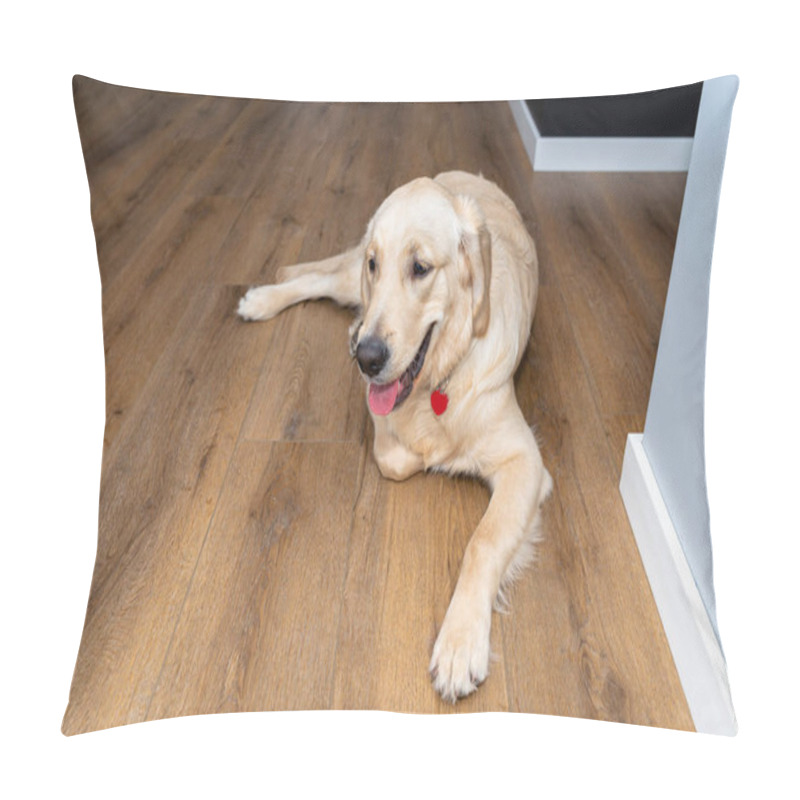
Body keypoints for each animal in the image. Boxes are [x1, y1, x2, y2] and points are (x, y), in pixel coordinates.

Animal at [238, 170, 552, 700]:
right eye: (376, 264)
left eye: (420, 267)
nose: (366, 358)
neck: (439, 380)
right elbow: (395, 456)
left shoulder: (525, 462)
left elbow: (483, 541)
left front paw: (460, 642)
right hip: (350, 283)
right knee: (319, 279)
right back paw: (264, 299)